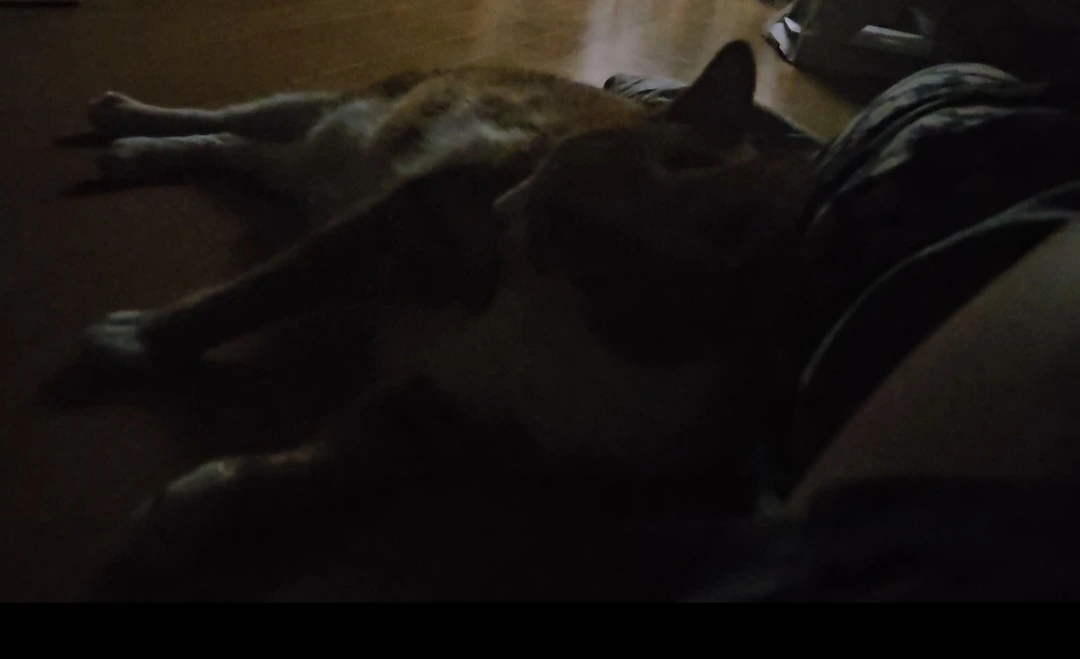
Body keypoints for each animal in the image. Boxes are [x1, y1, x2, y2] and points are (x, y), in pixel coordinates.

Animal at [79, 41, 811, 575]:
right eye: (543, 165)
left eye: (559, 215)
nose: (499, 208)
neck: (585, 329)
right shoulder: (407, 220)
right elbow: (257, 291)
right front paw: (138, 340)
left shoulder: (443, 418)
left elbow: (299, 474)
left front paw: (187, 512)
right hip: (356, 108)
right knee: (239, 117)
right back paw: (132, 122)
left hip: (308, 160)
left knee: (243, 150)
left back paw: (139, 152)